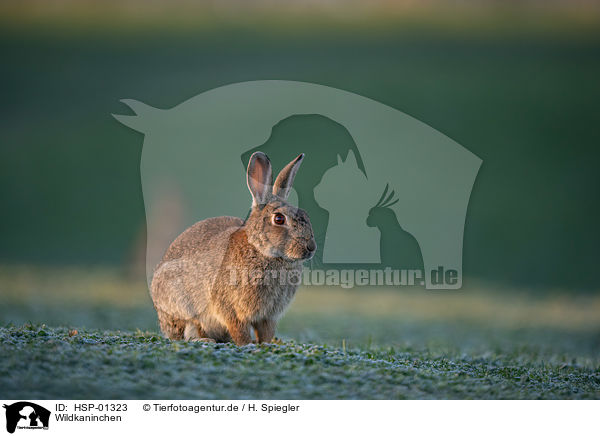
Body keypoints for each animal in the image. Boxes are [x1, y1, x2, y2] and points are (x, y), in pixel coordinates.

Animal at [149, 152, 316, 346]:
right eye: (279, 219)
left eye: (306, 215)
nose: (311, 247)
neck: (261, 251)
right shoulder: (229, 308)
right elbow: (239, 329)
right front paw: (246, 344)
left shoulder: (268, 316)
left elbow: (266, 332)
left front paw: (265, 344)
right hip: (183, 309)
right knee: (187, 332)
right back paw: (205, 340)